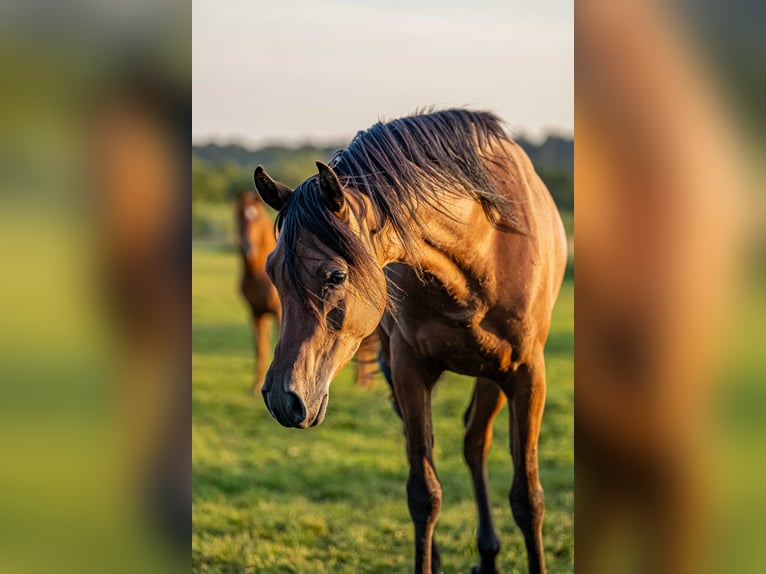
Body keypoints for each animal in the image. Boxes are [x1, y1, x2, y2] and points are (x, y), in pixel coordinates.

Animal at [253, 109, 567, 573]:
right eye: (272, 271)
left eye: (336, 276)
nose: (280, 397)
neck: (481, 251)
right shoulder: (409, 370)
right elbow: (424, 493)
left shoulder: (528, 374)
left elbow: (528, 498)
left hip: (493, 374)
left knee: (475, 443)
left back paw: (488, 555)